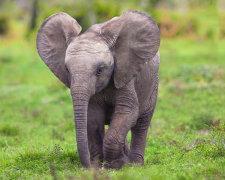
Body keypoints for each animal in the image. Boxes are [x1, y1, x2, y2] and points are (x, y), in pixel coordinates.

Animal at [36, 10, 160, 169]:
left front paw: (115, 165)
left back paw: (136, 165)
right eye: (67, 70)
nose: (89, 166)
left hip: (152, 83)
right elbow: (93, 117)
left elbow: (128, 111)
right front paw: (101, 165)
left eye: (100, 70)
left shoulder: (125, 75)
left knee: (141, 123)